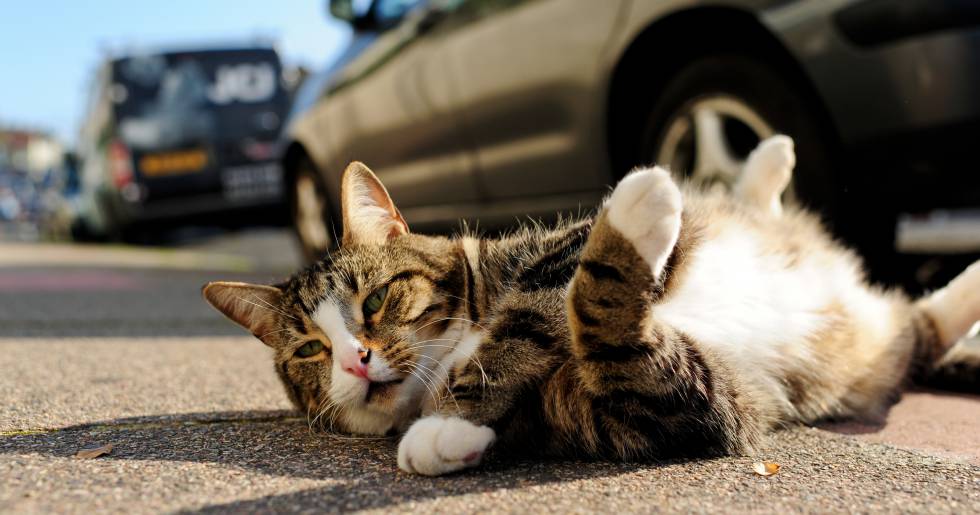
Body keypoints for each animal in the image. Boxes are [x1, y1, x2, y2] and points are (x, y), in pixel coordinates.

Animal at [203, 136, 976, 476]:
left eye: (377, 298)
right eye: (310, 349)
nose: (356, 359)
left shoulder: (555, 253)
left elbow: (555, 295)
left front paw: (638, 204)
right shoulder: (663, 410)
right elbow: (613, 341)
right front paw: (447, 433)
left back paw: (761, 163)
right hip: (878, 356)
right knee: (925, 324)